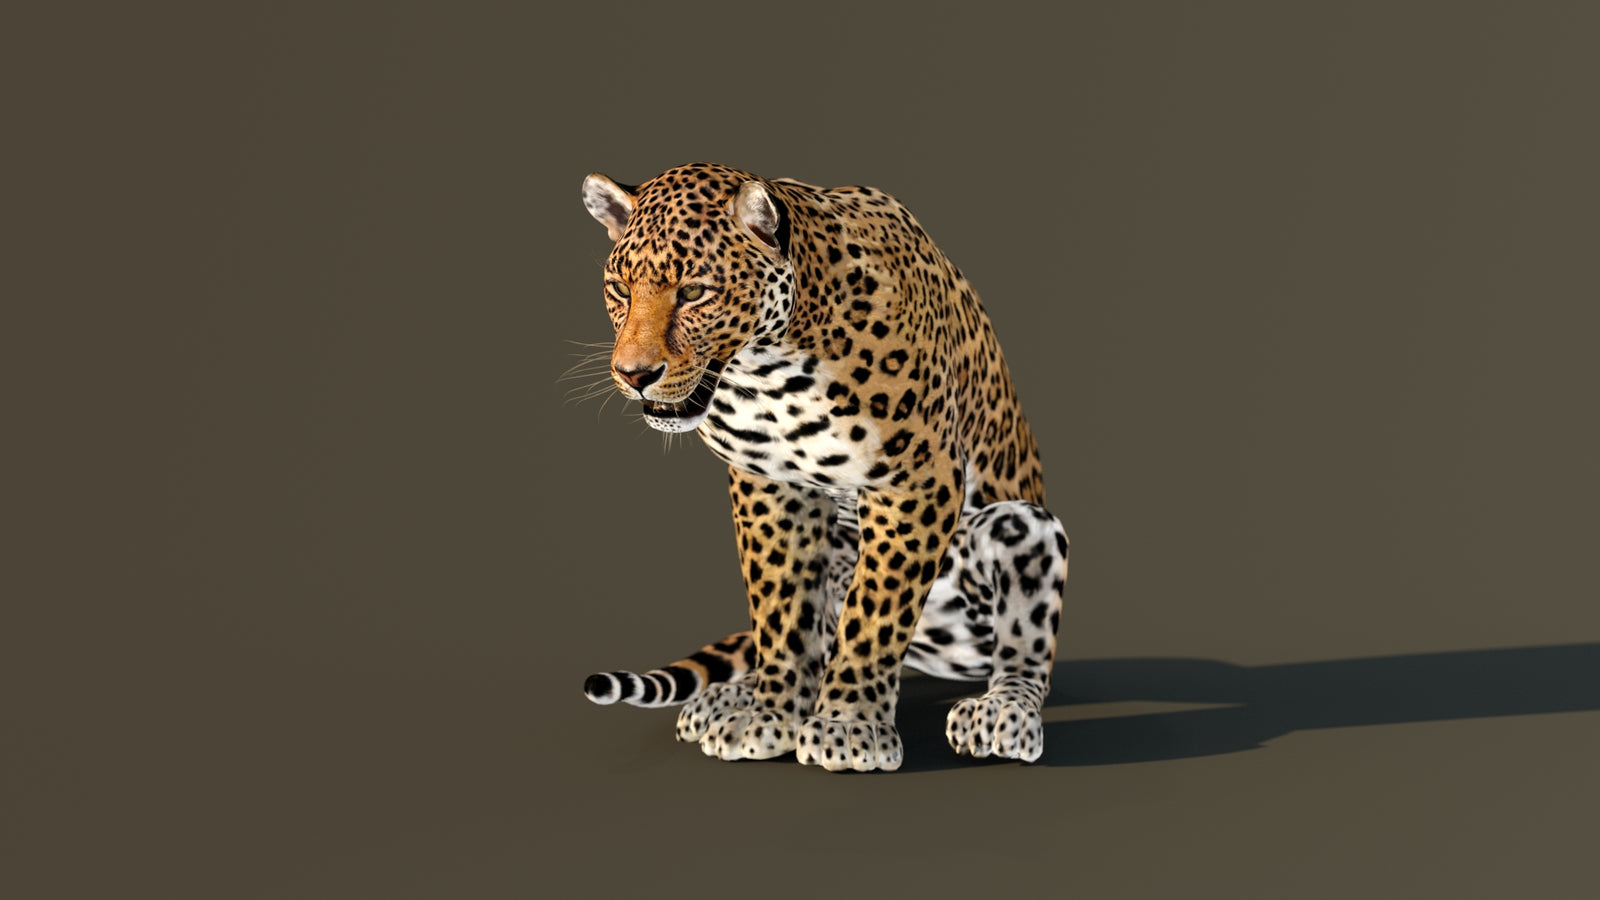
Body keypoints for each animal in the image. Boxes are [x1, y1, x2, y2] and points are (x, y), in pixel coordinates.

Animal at [577, 162, 1068, 772]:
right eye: (620, 289)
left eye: (693, 292)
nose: (634, 374)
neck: (769, 370)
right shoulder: (770, 486)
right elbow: (781, 610)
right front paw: (771, 714)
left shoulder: (917, 480)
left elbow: (875, 610)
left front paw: (847, 725)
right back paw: (725, 700)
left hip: (1022, 526)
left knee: (1023, 646)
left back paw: (1003, 713)